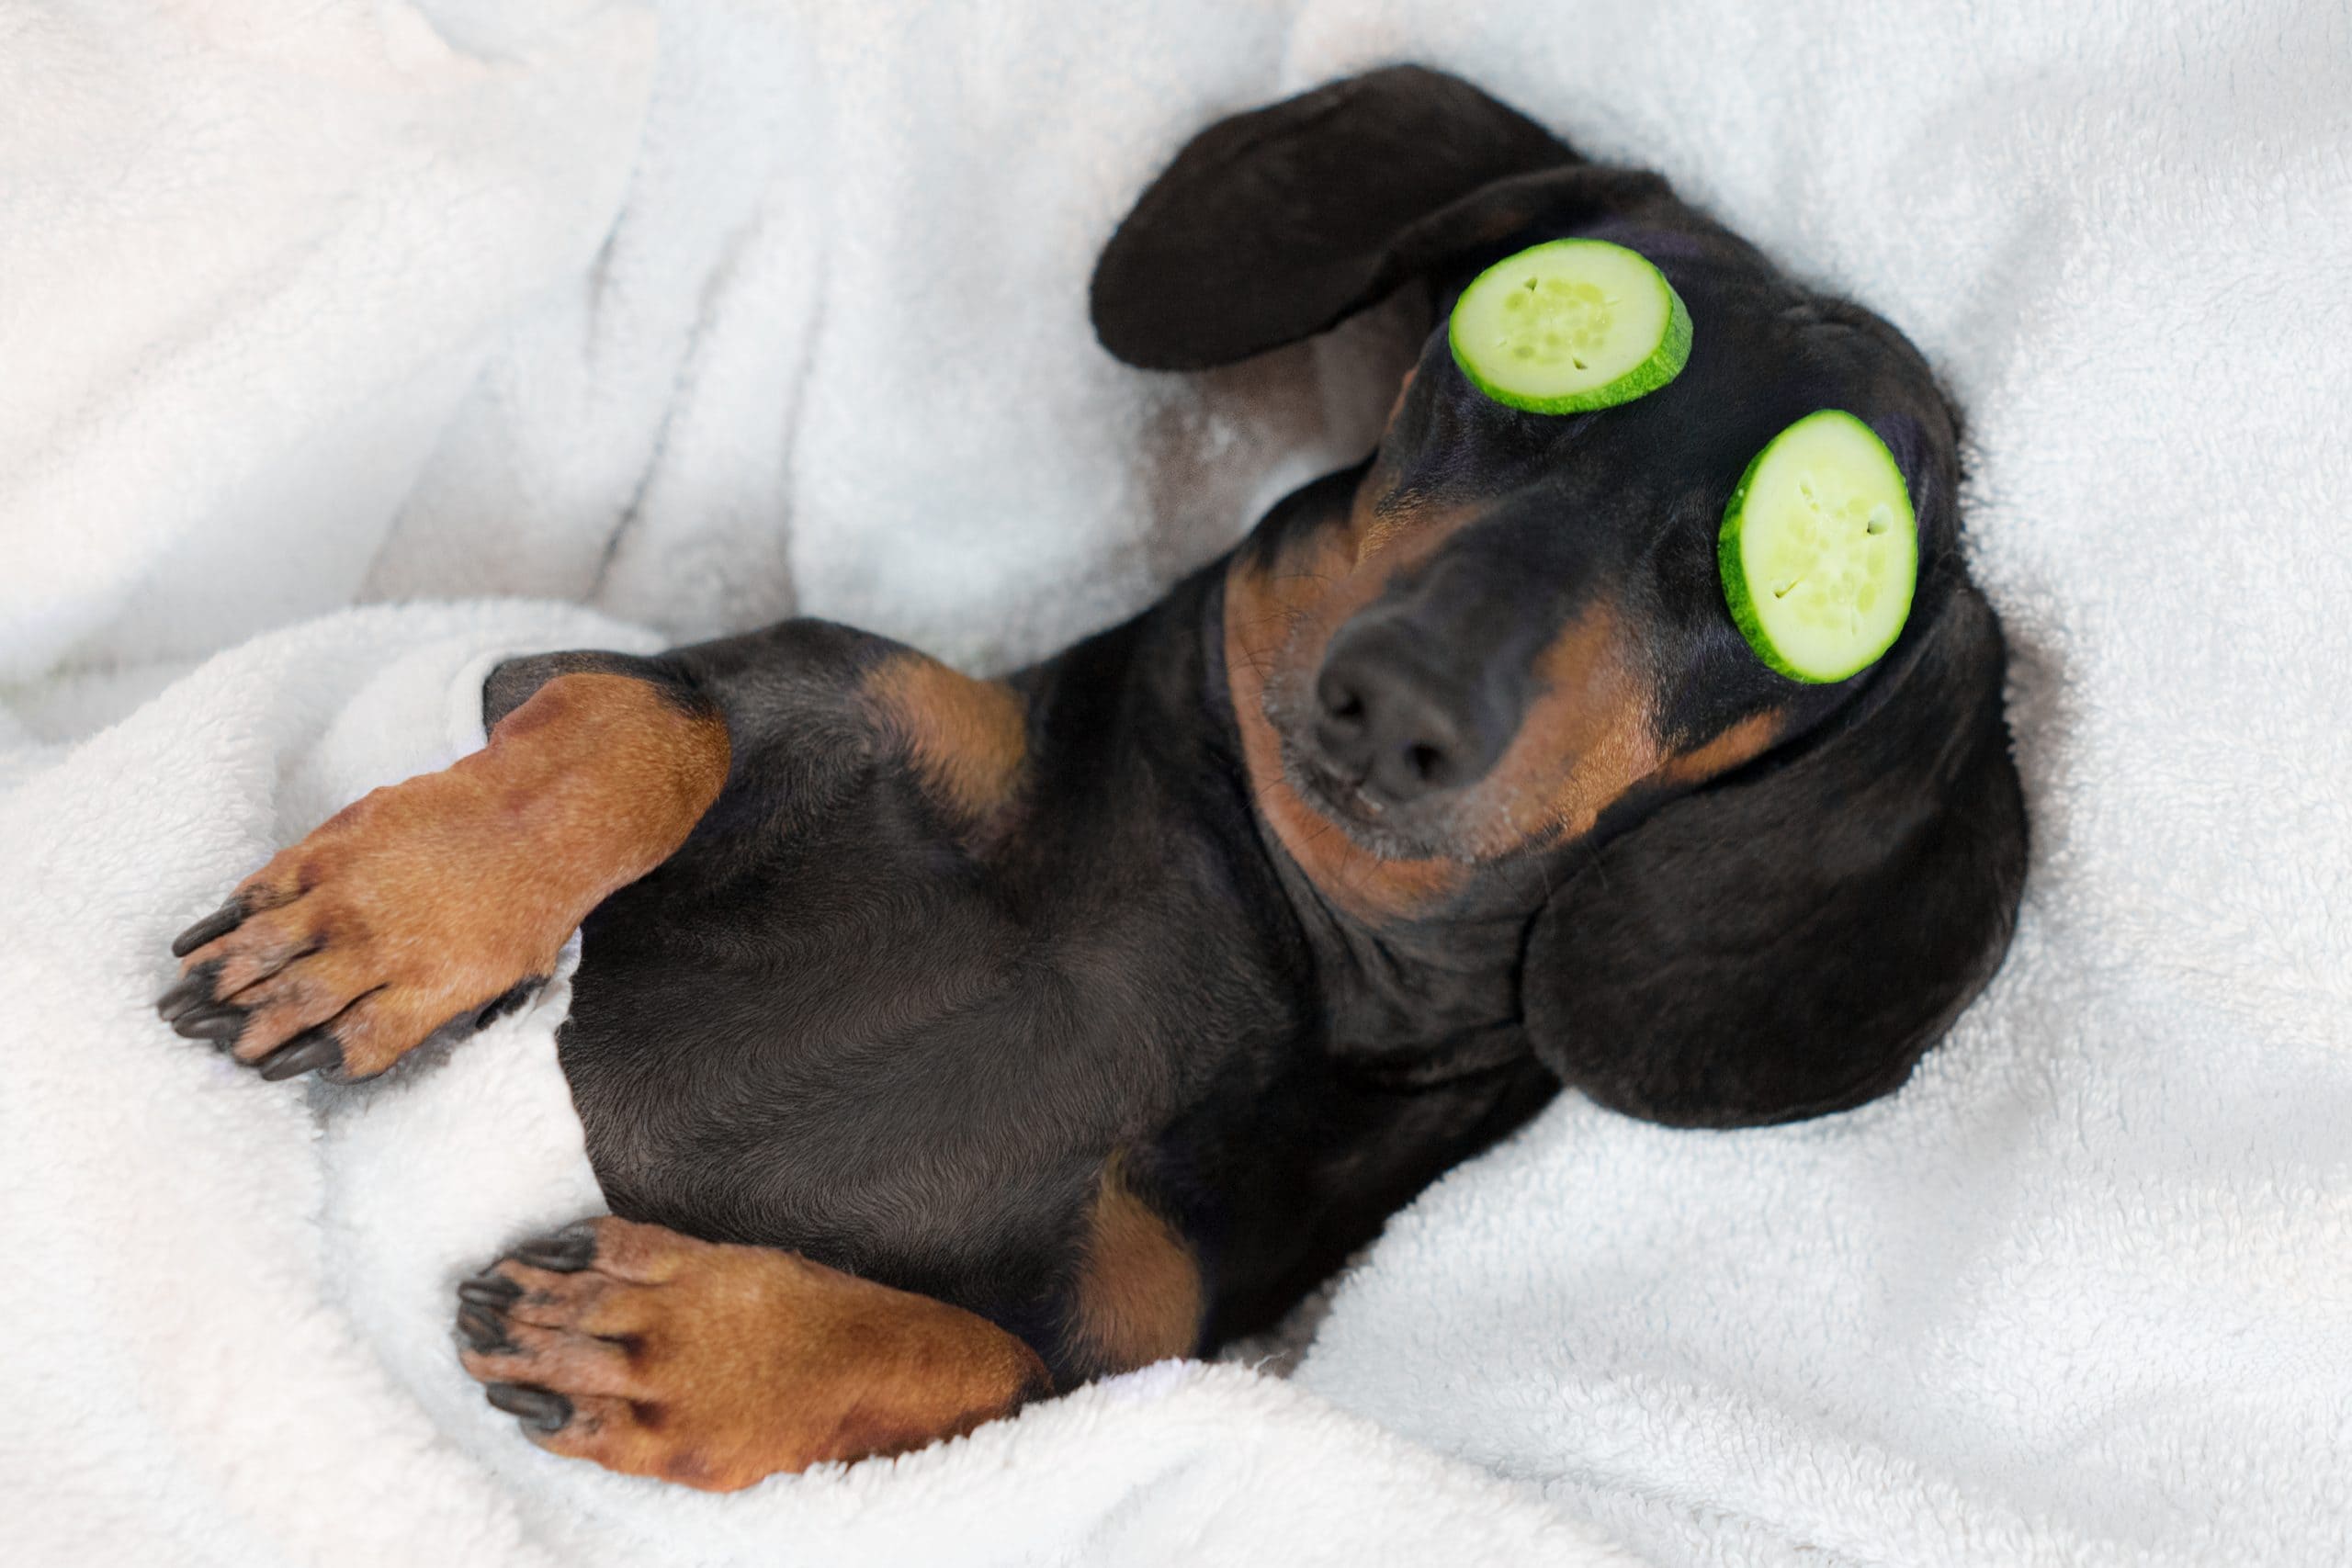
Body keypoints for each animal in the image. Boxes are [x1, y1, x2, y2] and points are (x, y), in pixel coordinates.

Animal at [152, 67, 2022, 1495]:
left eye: (1784, 576)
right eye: (1520, 358)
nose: (1396, 703)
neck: (1265, 933)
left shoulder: (1133, 1359)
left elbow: (966, 1355)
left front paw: (684, 1347)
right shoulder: (694, 677)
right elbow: (645, 734)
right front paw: (386, 921)